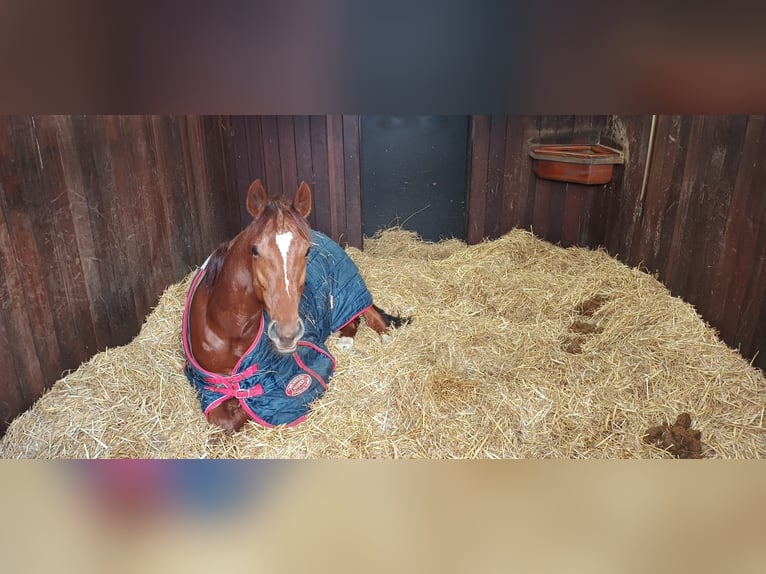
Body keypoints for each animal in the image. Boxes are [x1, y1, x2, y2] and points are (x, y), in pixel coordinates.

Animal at [182, 179, 408, 432]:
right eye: (254, 250)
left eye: (307, 250)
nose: (286, 334)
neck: (228, 330)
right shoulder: (205, 386)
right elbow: (225, 419)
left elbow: (245, 411)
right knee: (353, 321)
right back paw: (346, 341)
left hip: (349, 289)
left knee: (369, 313)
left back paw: (384, 337)